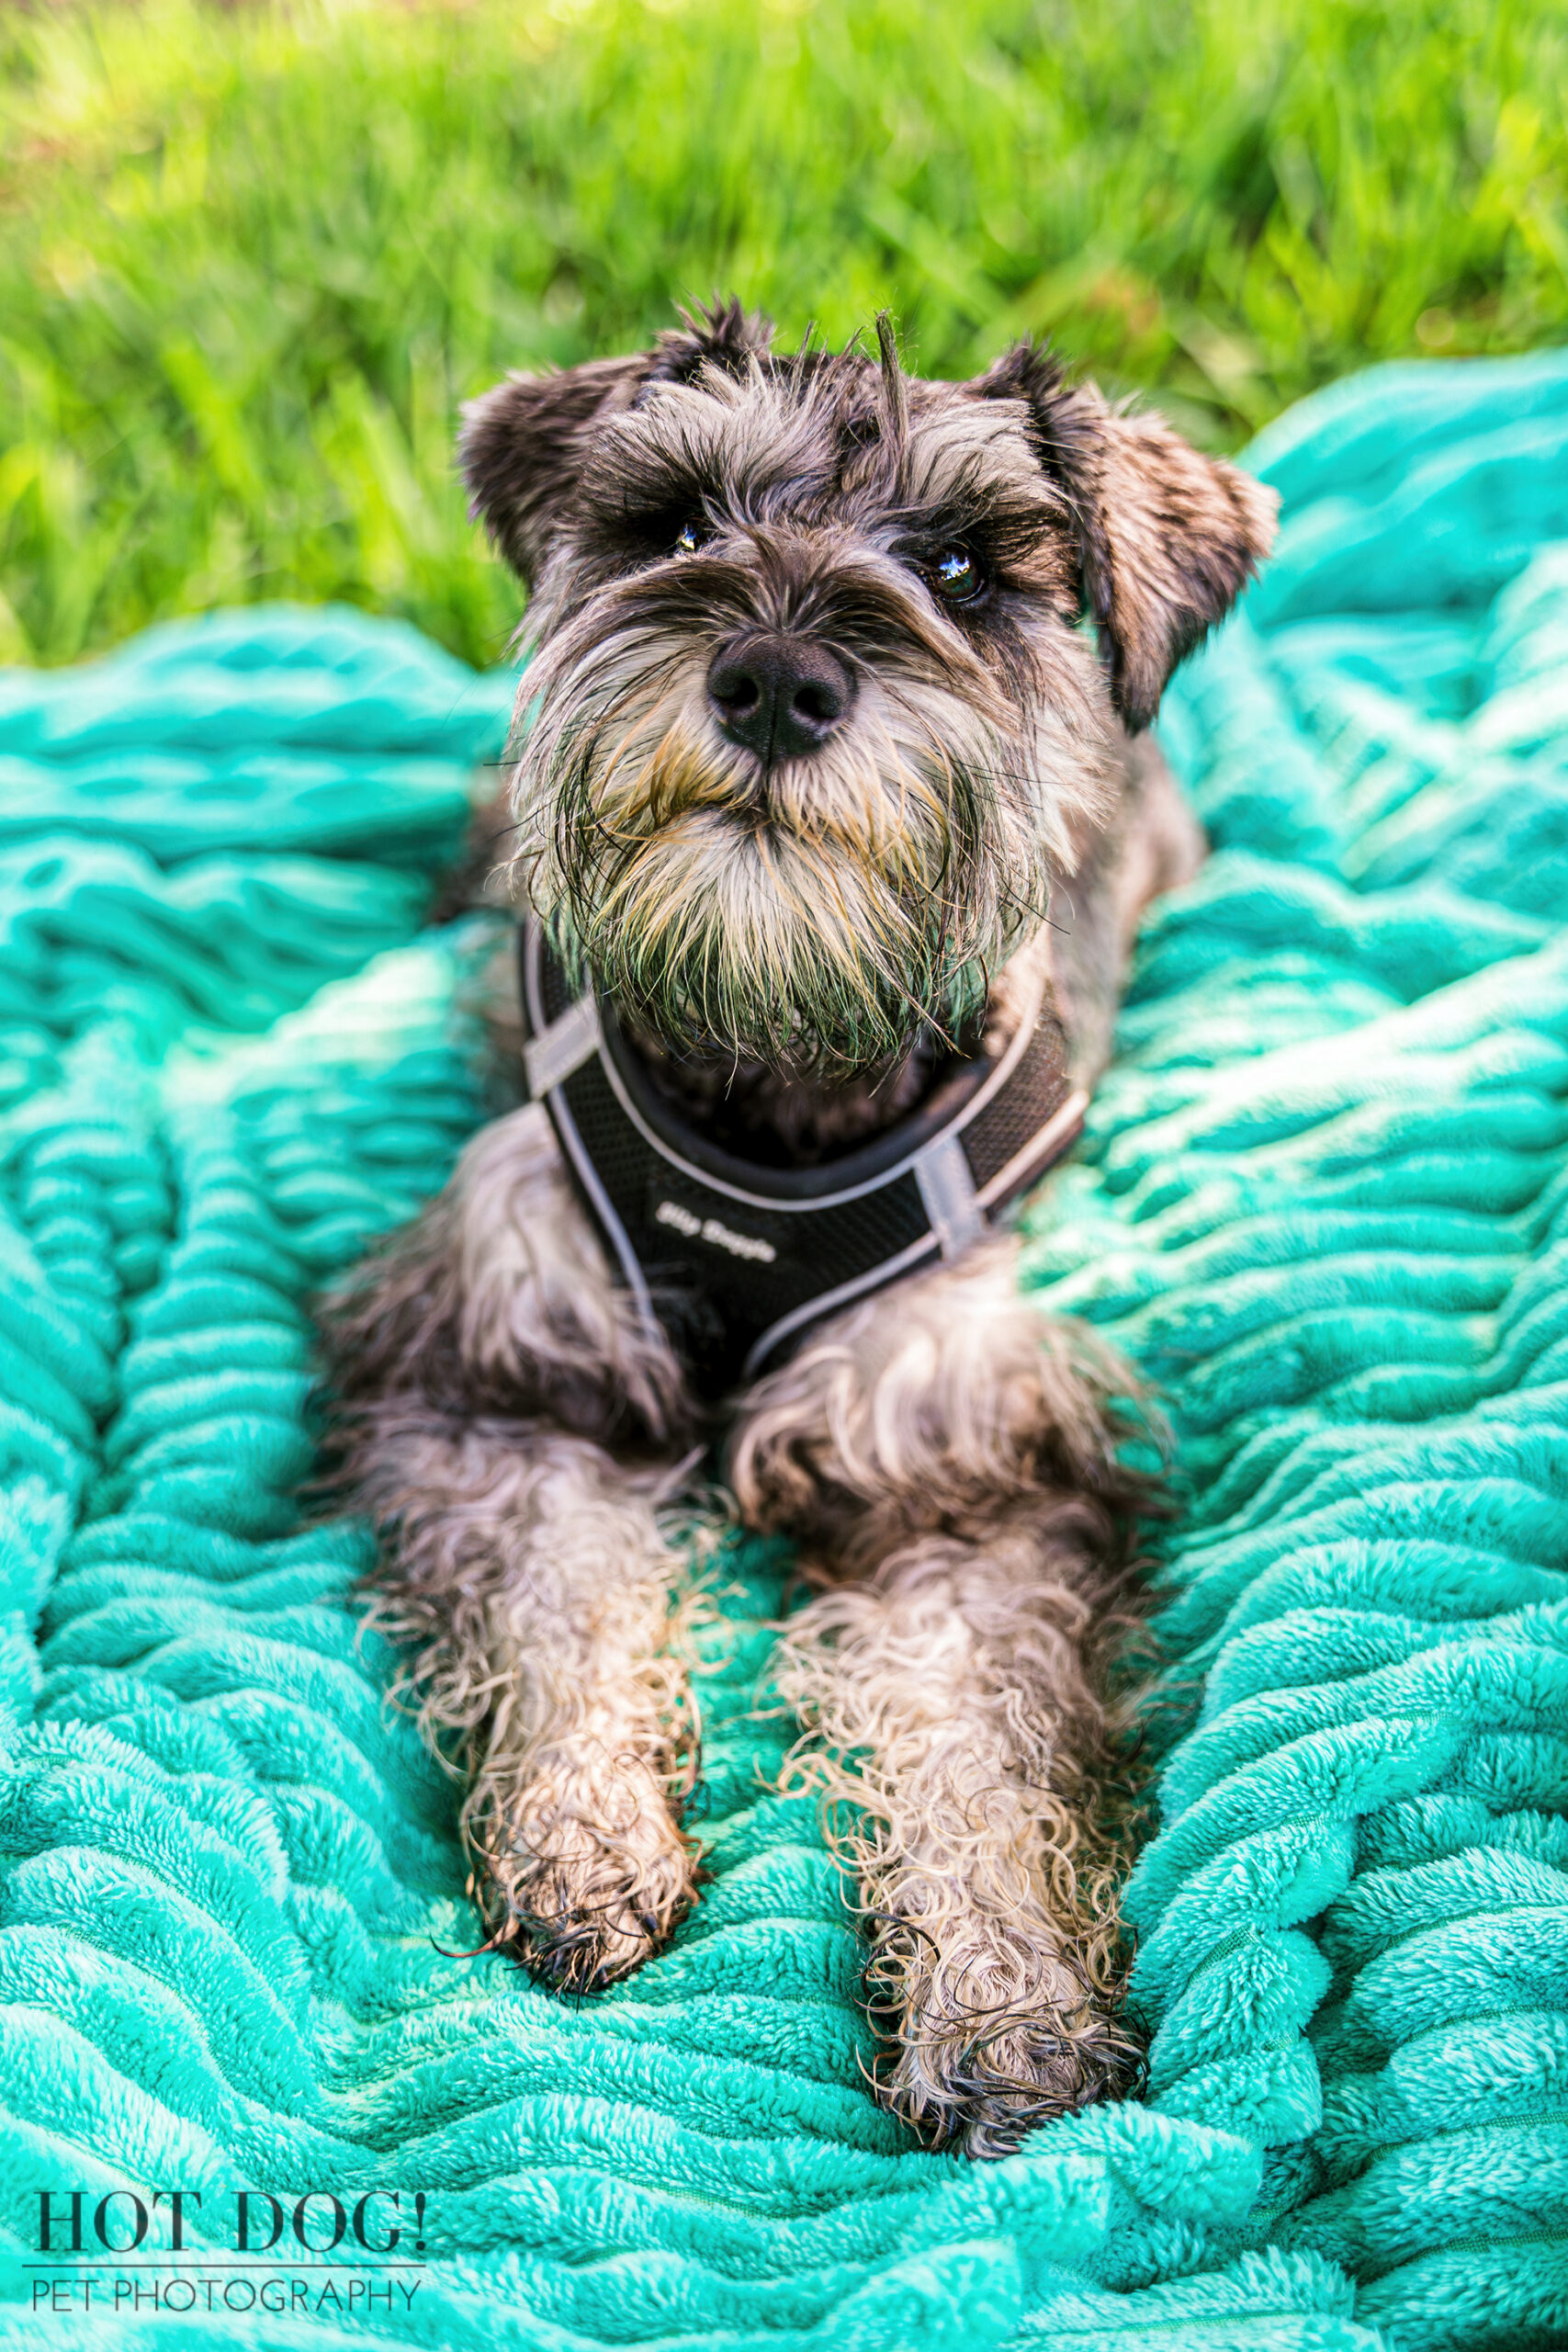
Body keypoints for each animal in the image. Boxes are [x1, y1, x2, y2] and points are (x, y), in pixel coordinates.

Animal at [321, 303, 1279, 2154]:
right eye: (678, 522)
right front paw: (579, 1835)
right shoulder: (505, 1374)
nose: (772, 675)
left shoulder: (952, 1465)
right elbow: (564, 1597)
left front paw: (1005, 2002)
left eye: (964, 563)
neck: (772, 1052)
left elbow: (972, 1738)